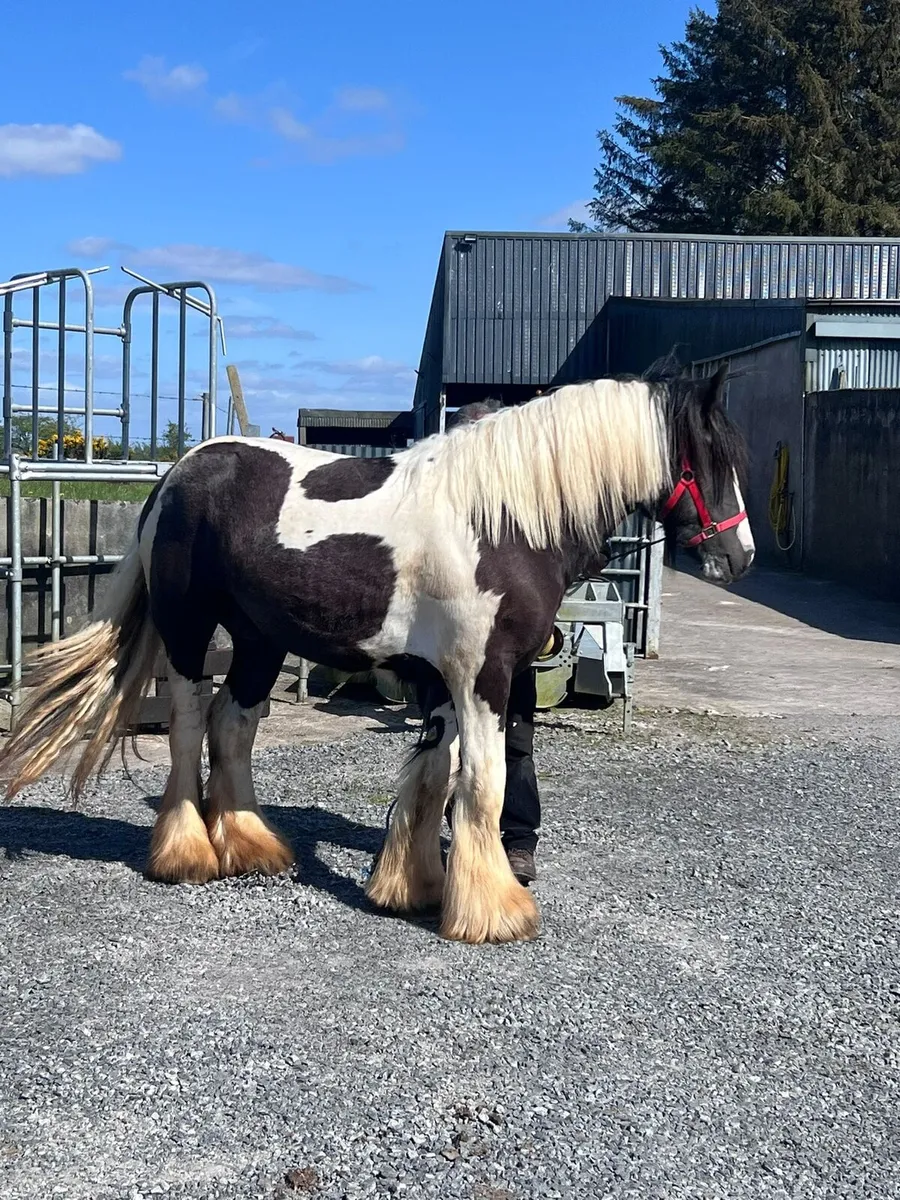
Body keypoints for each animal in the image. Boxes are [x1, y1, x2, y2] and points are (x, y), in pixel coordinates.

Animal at [0, 362, 754, 944]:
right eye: (710, 457)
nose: (739, 555)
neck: (500, 521)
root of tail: (179, 474)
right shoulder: (482, 675)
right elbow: (480, 785)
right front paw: (494, 913)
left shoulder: (446, 680)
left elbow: (433, 778)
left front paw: (414, 887)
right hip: (188, 634)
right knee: (188, 730)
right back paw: (187, 853)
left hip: (260, 643)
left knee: (232, 726)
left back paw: (251, 846)